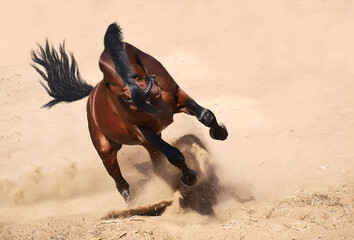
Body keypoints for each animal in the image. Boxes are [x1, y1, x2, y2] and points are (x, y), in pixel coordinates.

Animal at [31, 22, 228, 203]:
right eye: (134, 107)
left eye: (157, 91)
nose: (166, 119)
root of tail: (91, 96)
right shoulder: (141, 129)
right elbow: (174, 154)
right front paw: (190, 177)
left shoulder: (178, 97)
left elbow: (206, 116)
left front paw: (219, 132)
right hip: (107, 148)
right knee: (120, 181)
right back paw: (134, 201)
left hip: (150, 143)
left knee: (157, 167)